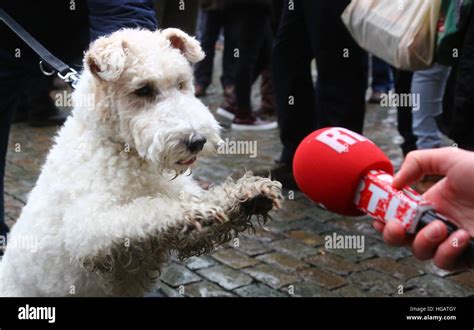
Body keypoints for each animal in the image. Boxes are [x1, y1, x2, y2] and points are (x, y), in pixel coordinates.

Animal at [0, 28, 282, 296]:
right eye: (143, 89)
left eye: (181, 84)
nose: (197, 141)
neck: (123, 152)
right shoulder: (90, 231)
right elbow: (148, 211)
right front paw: (194, 209)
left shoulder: (183, 234)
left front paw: (250, 195)